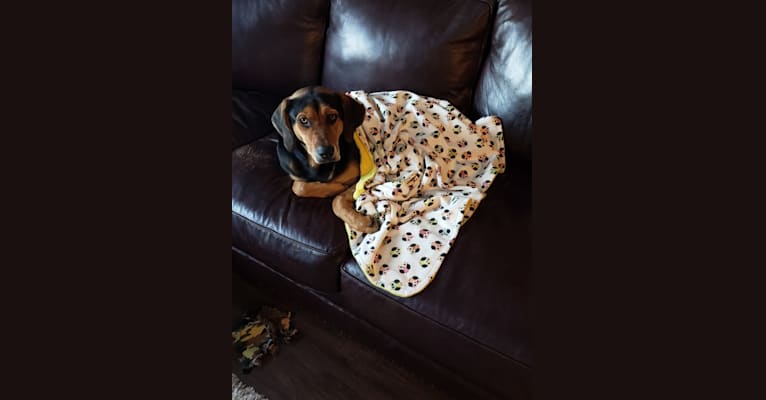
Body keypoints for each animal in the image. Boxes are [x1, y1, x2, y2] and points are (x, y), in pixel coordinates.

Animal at [270, 86, 380, 233]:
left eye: (332, 116)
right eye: (303, 120)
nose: (326, 152)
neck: (318, 167)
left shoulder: (359, 179)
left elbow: (337, 201)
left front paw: (362, 222)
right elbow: (298, 187)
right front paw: (335, 187)